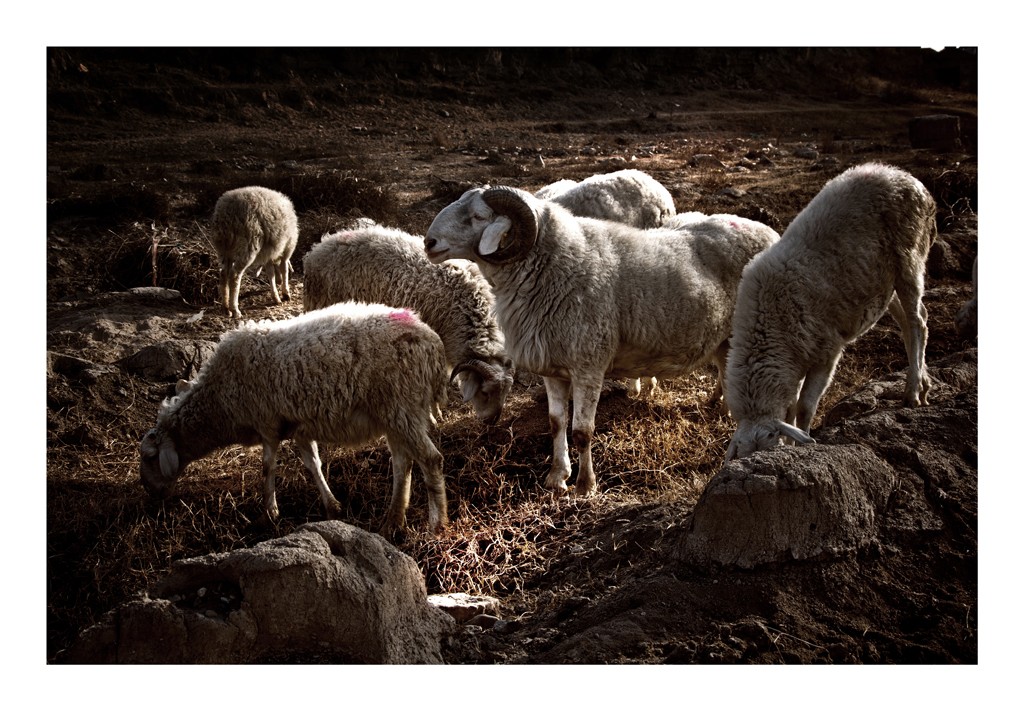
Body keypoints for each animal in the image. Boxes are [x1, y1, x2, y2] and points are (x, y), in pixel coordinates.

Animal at [139, 301, 449, 538]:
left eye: (150, 457)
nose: (149, 493)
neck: (220, 400)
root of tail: (432, 343)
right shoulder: (300, 426)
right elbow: (313, 464)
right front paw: (332, 506)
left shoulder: (266, 423)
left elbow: (267, 468)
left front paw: (269, 514)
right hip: (395, 413)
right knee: (403, 463)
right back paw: (393, 520)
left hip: (402, 406)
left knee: (430, 459)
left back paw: (437, 524)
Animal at [210, 186, 299, 318]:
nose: (279, 282)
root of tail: (226, 212)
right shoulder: (287, 248)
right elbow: (284, 269)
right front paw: (285, 293)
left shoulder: (269, 253)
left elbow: (270, 273)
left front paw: (276, 296)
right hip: (248, 245)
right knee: (235, 275)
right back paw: (235, 309)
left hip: (224, 249)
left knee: (223, 273)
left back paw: (225, 308)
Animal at [424, 186, 780, 496]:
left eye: (479, 216)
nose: (429, 242)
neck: (557, 266)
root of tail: (767, 231)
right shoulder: (553, 369)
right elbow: (556, 423)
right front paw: (557, 477)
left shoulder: (589, 366)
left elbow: (582, 432)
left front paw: (585, 485)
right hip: (723, 339)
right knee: (725, 369)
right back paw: (718, 406)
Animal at [723, 162, 938, 462]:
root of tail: (903, 175)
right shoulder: (793, 359)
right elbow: (791, 408)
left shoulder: (826, 352)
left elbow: (803, 407)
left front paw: (801, 443)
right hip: (886, 280)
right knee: (913, 321)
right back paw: (924, 384)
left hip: (909, 258)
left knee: (918, 323)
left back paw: (913, 391)